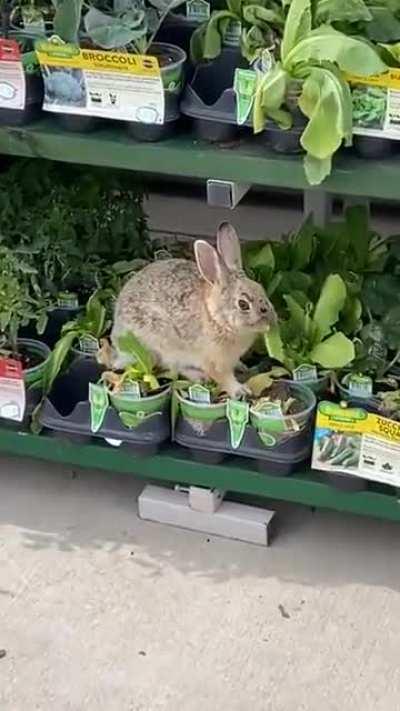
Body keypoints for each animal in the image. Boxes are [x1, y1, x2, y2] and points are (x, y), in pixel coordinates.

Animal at [110, 222, 277, 399]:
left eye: (261, 289)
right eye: (243, 304)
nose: (271, 319)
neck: (216, 318)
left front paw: (241, 367)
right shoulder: (214, 361)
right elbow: (223, 377)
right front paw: (240, 390)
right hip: (160, 345)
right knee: (171, 366)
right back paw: (199, 376)